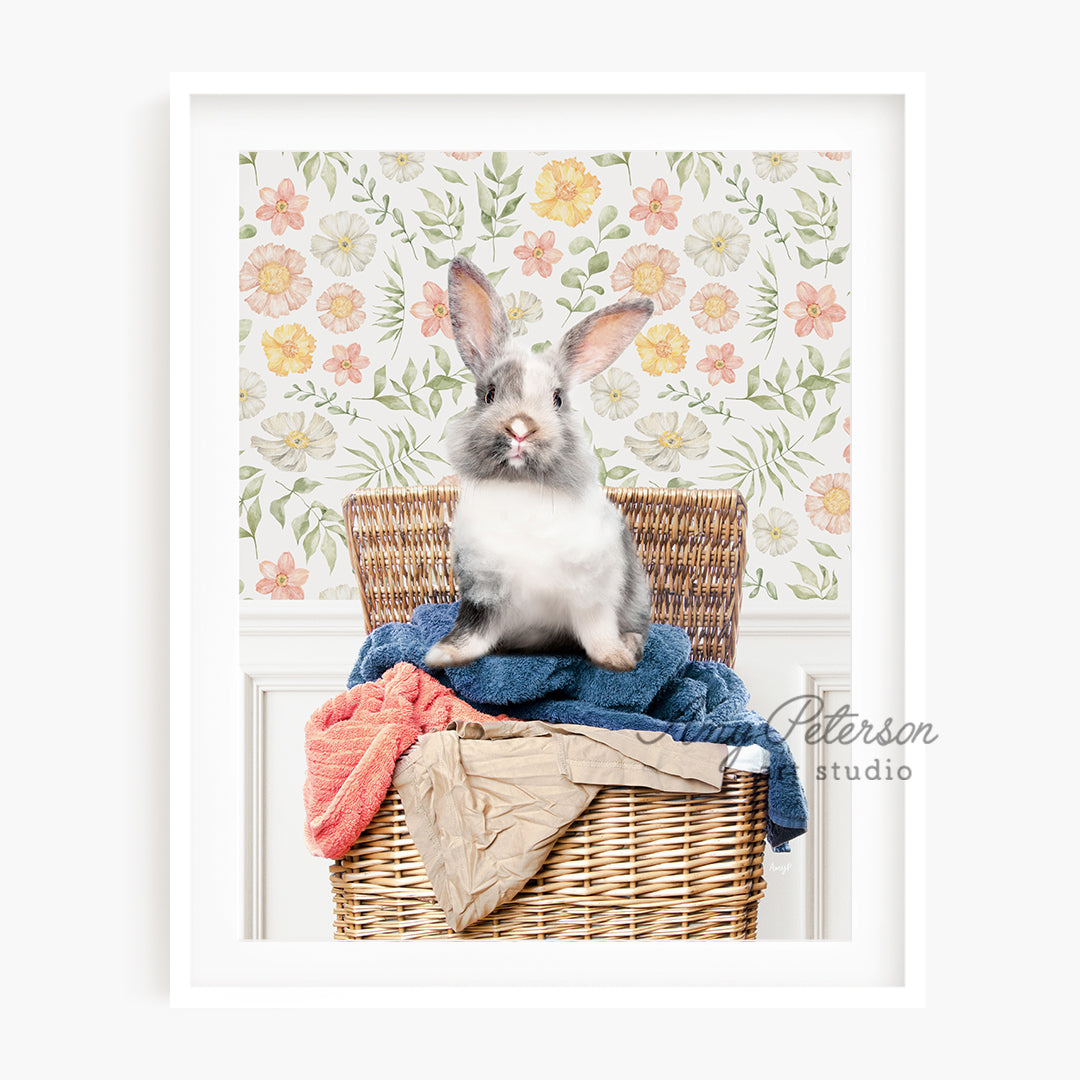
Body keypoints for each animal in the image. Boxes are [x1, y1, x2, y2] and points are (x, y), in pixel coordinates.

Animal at [423, 255, 652, 669]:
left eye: (558, 399)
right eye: (490, 394)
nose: (520, 428)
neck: (521, 488)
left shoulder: (594, 593)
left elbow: (597, 631)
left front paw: (616, 660)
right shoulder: (482, 590)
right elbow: (473, 629)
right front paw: (443, 655)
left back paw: (630, 644)